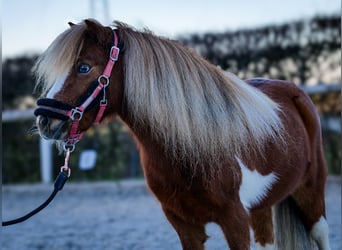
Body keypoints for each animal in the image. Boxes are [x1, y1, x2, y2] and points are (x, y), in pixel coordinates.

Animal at [33, 20, 330, 250]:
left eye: (84, 67)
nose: (45, 120)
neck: (192, 147)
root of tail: (295, 92)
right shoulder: (184, 224)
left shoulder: (235, 221)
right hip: (262, 206)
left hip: (312, 192)